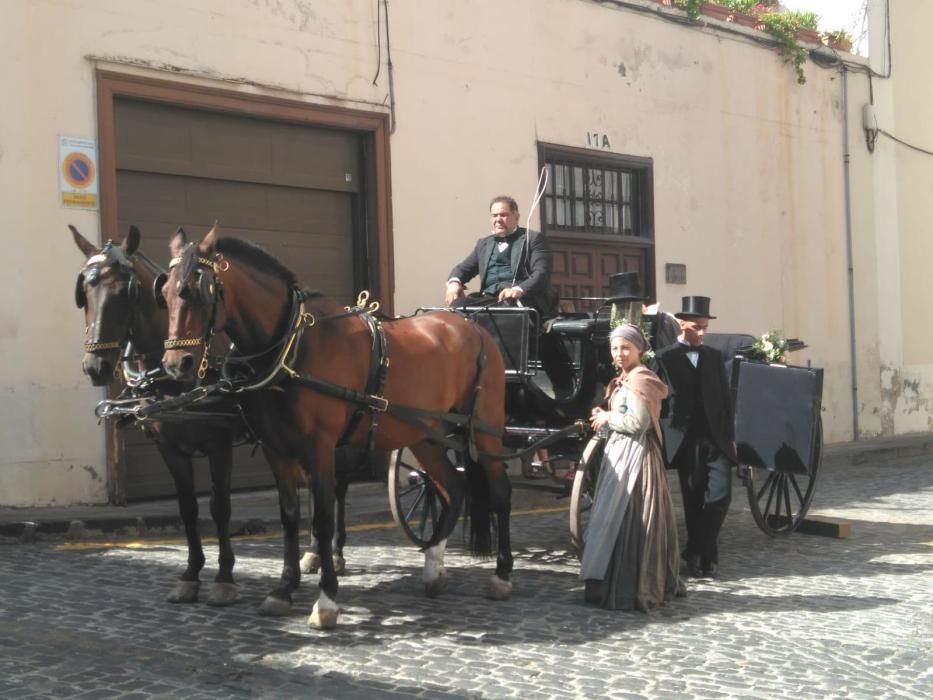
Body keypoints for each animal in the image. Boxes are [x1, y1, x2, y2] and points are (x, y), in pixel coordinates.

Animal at [71, 226, 244, 608]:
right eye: (84, 292)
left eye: (125, 292)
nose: (95, 367)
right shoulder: (168, 446)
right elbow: (188, 508)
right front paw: (191, 575)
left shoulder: (220, 443)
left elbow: (221, 507)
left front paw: (224, 578)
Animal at [158, 227, 510, 632]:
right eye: (165, 292)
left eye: (197, 291)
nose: (176, 364)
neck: (291, 346)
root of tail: (474, 328)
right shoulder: (275, 448)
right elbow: (290, 515)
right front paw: (283, 589)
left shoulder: (320, 447)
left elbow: (323, 518)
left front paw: (326, 599)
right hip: (425, 433)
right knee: (454, 485)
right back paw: (434, 566)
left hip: (485, 430)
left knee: (499, 491)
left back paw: (502, 575)